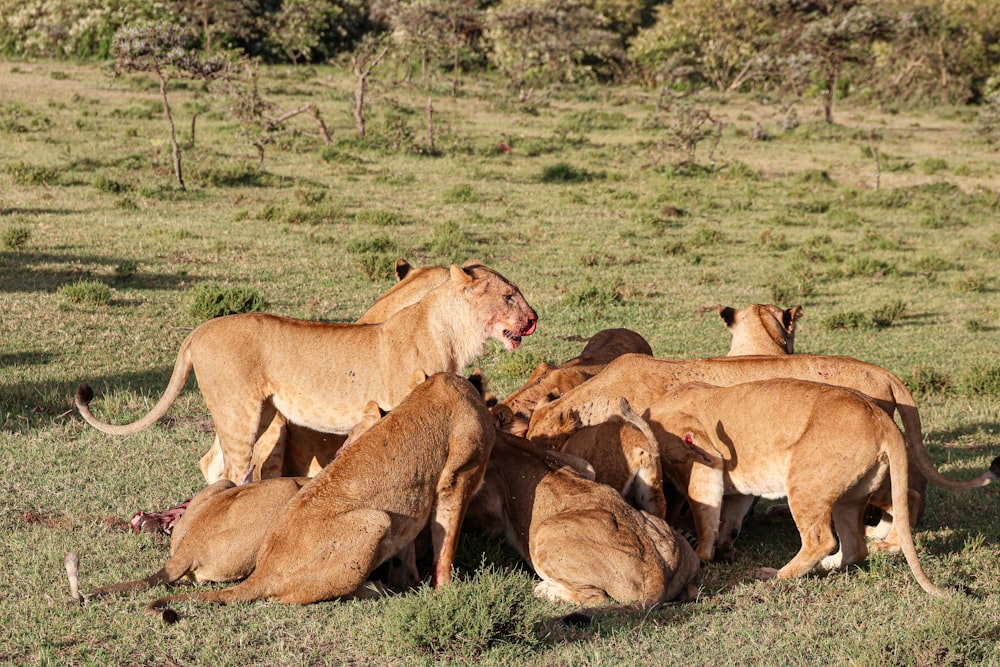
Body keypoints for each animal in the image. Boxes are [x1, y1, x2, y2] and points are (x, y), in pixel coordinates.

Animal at [76, 262, 540, 486]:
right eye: (509, 296)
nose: (535, 319)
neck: (453, 330)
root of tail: (199, 329)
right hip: (240, 411)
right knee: (235, 470)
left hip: (259, 412)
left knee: (211, 462)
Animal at [464, 410, 700, 608]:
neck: (503, 442)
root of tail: (656, 573)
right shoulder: (579, 463)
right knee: (692, 590)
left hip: (544, 534)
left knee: (597, 598)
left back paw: (544, 589)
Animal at [644, 378, 972, 596]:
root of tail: (878, 414)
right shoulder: (738, 486)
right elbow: (731, 516)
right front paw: (724, 547)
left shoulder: (701, 460)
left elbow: (704, 511)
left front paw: (702, 555)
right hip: (853, 493)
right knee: (865, 538)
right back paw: (848, 555)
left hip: (804, 481)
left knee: (822, 539)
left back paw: (775, 574)